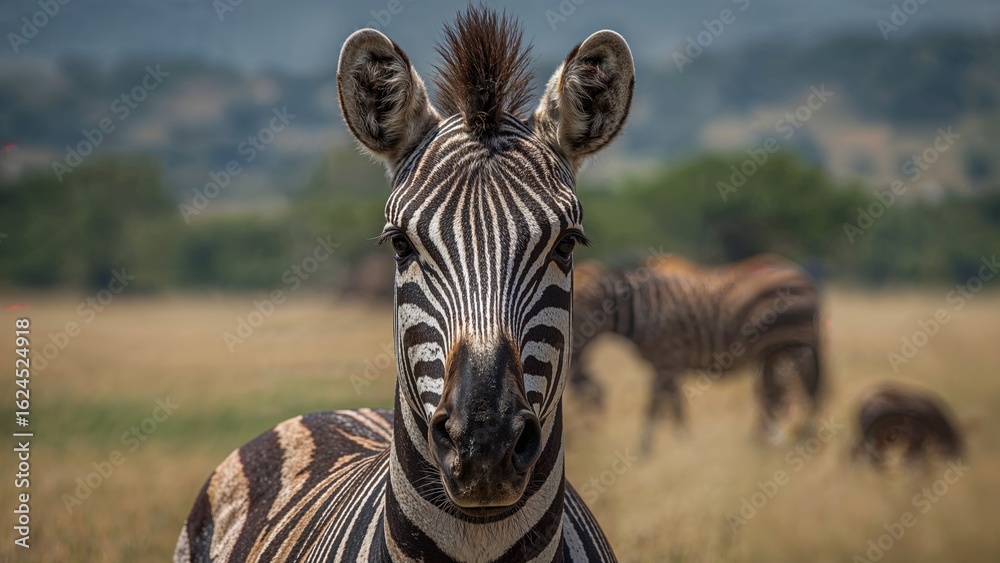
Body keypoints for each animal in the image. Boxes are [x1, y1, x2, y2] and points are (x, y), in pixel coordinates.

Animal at [567, 254, 823, 452]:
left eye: (577, 309)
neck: (642, 311)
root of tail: (801, 274)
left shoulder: (667, 360)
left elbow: (657, 407)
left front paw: (651, 450)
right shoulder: (666, 365)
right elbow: (674, 406)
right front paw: (681, 444)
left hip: (789, 346)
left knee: (798, 395)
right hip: (778, 351)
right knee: (783, 396)